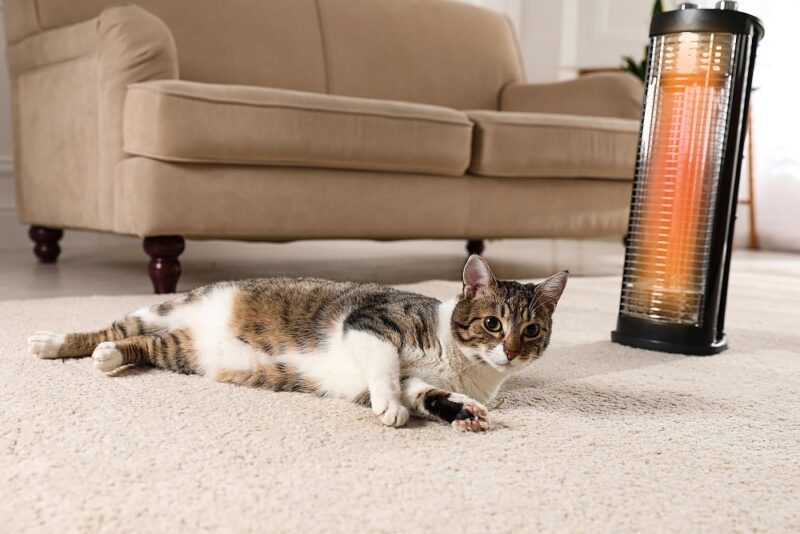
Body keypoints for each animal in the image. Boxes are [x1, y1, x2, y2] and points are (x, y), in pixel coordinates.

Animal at [28, 258, 564, 434]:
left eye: (532, 330)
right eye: (493, 324)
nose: (511, 351)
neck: (462, 366)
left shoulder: (421, 380)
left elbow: (424, 393)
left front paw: (463, 411)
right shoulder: (372, 322)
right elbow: (387, 367)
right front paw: (389, 406)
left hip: (177, 350)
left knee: (138, 344)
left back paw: (110, 358)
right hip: (163, 309)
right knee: (112, 328)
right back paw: (51, 342)